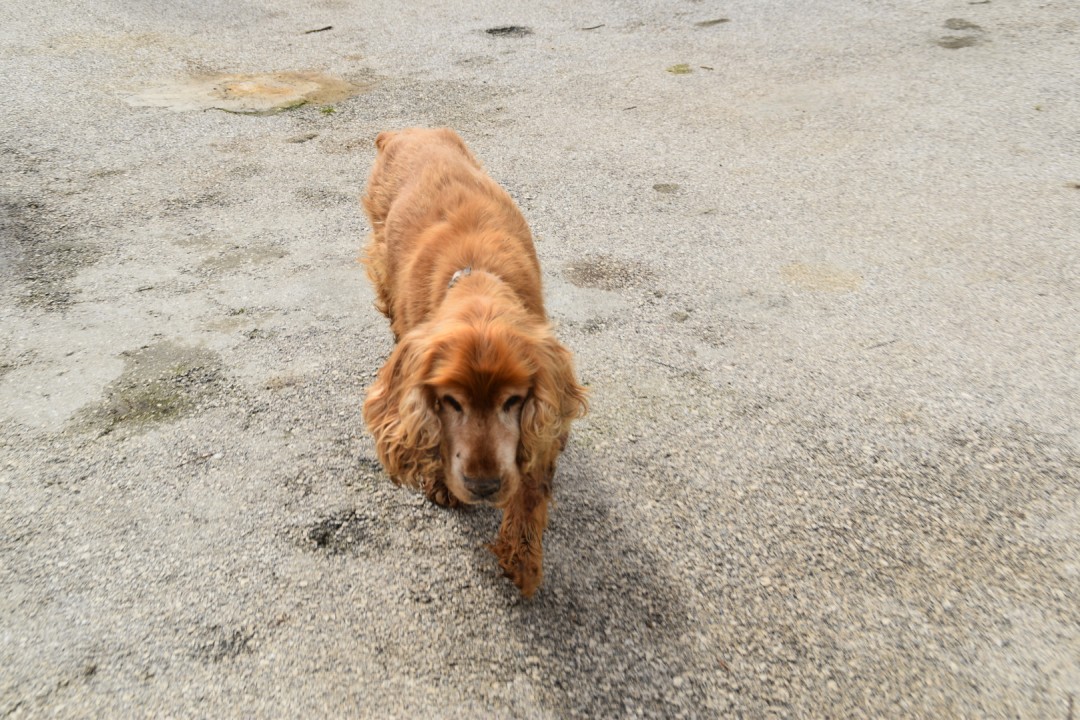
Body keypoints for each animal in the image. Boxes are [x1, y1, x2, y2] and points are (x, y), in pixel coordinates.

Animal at [360, 128, 587, 597]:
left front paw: (522, 556)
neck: (478, 281)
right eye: (451, 402)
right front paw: (440, 483)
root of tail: (406, 129)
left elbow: (530, 480)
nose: (483, 487)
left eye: (513, 401)